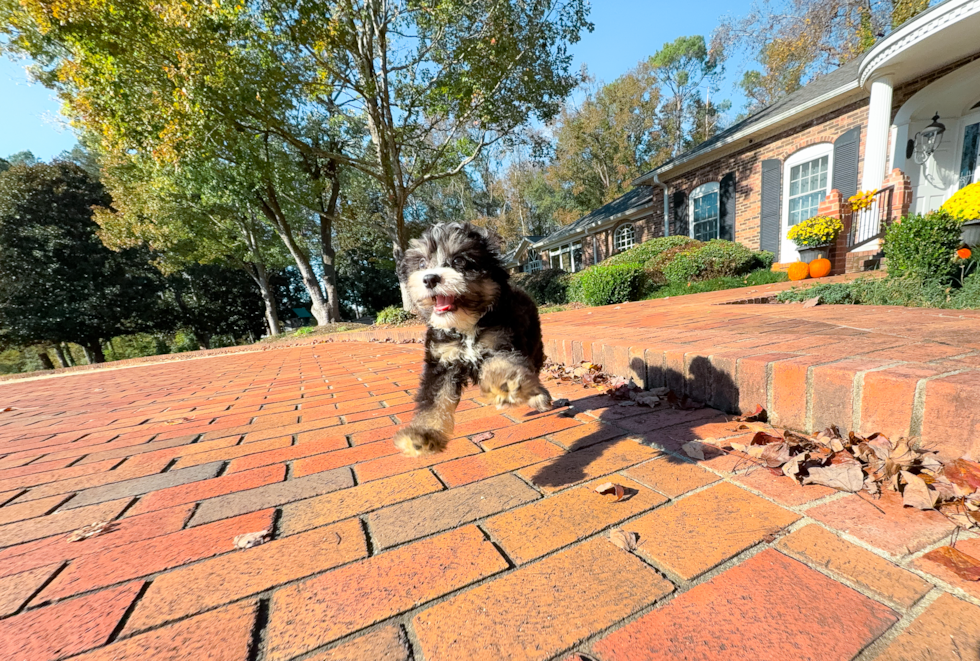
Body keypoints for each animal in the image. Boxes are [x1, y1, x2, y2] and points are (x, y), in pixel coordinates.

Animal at [392, 220, 552, 454]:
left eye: (459, 260)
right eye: (421, 263)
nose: (429, 278)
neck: (464, 326)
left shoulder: (501, 343)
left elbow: (502, 365)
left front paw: (504, 383)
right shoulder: (442, 361)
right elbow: (434, 400)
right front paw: (423, 434)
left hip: (533, 345)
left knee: (532, 370)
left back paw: (537, 395)